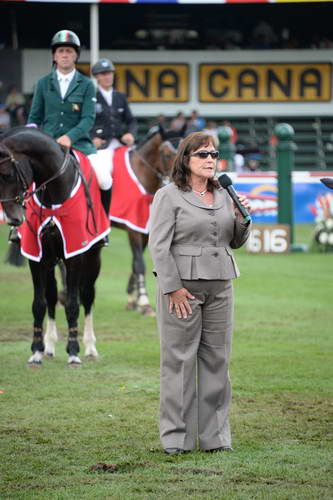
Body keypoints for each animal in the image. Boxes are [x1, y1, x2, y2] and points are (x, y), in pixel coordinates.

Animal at [0, 127, 109, 366]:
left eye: (7, 175)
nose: (12, 219)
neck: (53, 191)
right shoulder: (36, 257)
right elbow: (39, 303)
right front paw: (36, 350)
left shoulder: (74, 255)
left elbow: (73, 304)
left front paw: (74, 351)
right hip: (50, 262)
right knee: (51, 297)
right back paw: (49, 346)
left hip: (93, 258)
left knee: (87, 296)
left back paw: (90, 348)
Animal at [110, 123, 185, 316]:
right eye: (165, 154)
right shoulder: (134, 229)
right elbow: (139, 263)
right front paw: (143, 302)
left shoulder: (146, 230)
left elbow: (134, 264)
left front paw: (132, 300)